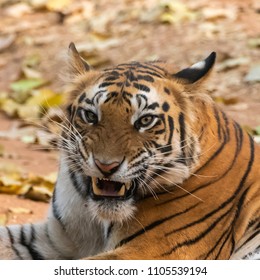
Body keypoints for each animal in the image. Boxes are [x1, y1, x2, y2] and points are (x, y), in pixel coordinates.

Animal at [0, 43, 260, 260]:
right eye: (91, 116)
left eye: (145, 120)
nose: (106, 166)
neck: (97, 220)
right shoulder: (52, 239)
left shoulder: (154, 251)